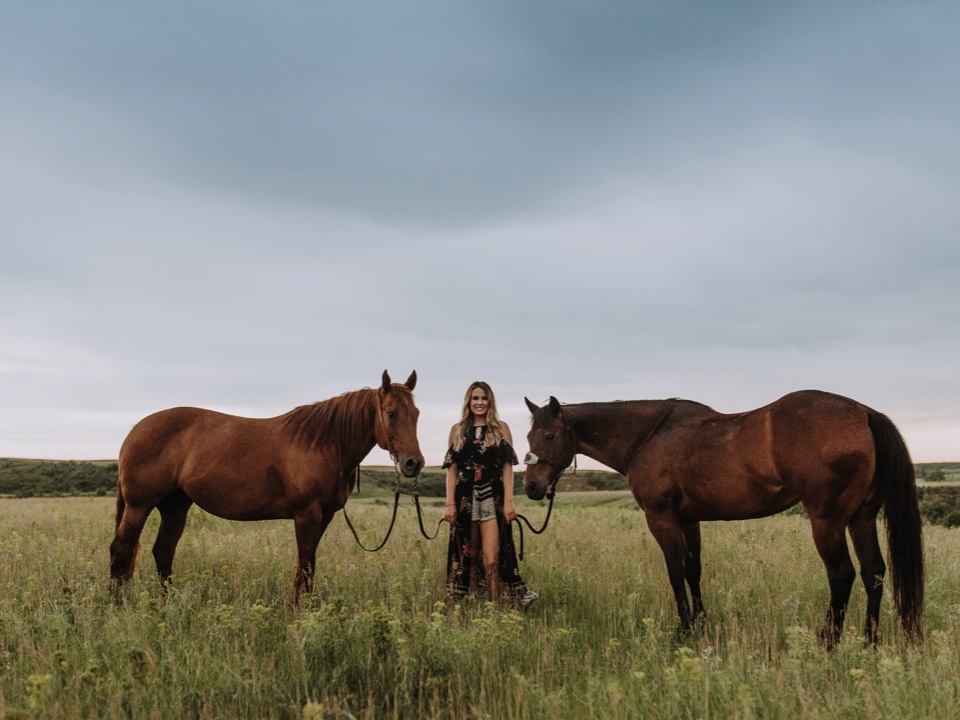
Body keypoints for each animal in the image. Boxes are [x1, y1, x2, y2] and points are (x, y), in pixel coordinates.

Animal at [109, 372, 424, 600]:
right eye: (391, 413)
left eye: (418, 413)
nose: (414, 463)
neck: (324, 444)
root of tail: (135, 431)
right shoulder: (307, 514)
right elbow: (305, 564)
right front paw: (298, 611)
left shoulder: (324, 516)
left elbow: (309, 564)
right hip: (139, 506)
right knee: (122, 549)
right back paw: (119, 605)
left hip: (175, 506)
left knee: (163, 551)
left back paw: (167, 604)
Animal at [524, 390, 924, 648]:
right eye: (528, 435)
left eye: (549, 435)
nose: (531, 486)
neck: (648, 435)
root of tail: (864, 413)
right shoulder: (689, 521)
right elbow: (692, 570)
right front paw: (701, 623)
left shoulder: (662, 519)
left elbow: (674, 572)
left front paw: (684, 630)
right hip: (861, 519)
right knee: (874, 572)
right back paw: (870, 642)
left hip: (826, 521)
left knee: (842, 575)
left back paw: (828, 641)